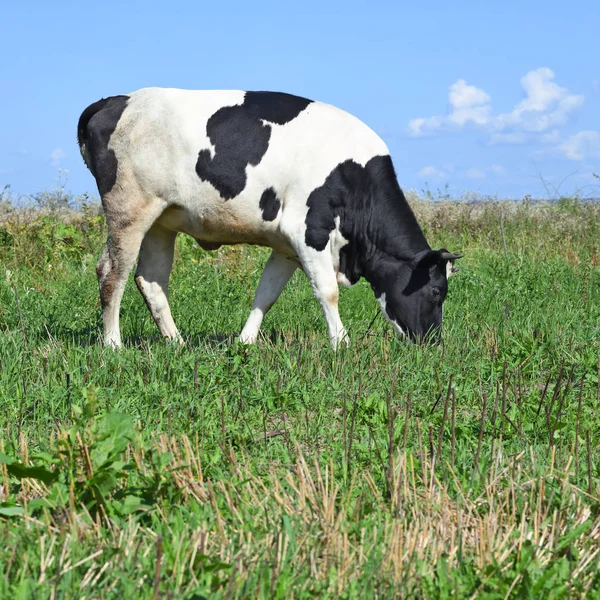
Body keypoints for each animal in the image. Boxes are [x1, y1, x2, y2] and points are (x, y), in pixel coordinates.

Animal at [77, 90, 462, 352]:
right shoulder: (309, 231)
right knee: (111, 273)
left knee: (151, 280)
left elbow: (267, 293)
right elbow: (328, 290)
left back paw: (177, 342)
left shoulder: (286, 246)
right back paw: (113, 344)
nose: (432, 342)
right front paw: (341, 343)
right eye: (437, 291)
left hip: (161, 221)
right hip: (128, 208)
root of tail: (116, 100)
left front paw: (245, 341)